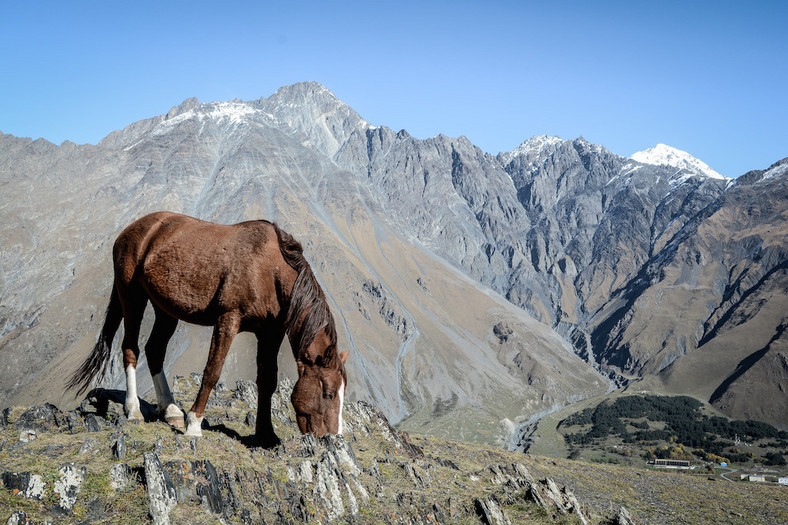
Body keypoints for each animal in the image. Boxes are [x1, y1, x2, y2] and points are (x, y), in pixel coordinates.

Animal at [68, 211, 348, 444]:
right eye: (328, 394)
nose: (332, 437)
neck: (270, 270)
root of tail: (132, 229)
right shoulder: (228, 319)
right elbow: (213, 371)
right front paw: (194, 424)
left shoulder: (270, 333)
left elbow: (268, 380)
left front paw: (265, 434)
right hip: (131, 296)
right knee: (131, 348)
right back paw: (134, 410)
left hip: (165, 310)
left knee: (155, 350)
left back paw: (170, 410)